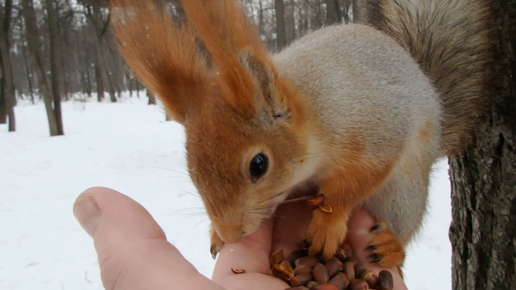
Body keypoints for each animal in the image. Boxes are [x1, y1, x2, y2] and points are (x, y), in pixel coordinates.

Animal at [109, 0, 492, 270]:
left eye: (259, 165)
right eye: (190, 167)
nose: (232, 233)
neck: (316, 112)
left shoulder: (377, 131)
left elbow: (355, 183)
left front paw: (328, 221)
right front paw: (215, 232)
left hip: (403, 192)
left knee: (403, 224)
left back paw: (390, 245)